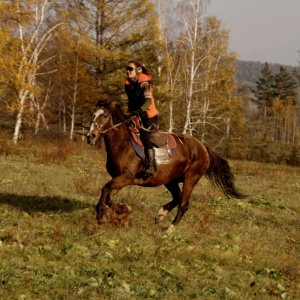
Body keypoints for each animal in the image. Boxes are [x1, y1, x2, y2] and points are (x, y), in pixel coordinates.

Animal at [85, 97, 245, 233]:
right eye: (93, 115)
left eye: (105, 116)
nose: (90, 136)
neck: (123, 144)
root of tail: (203, 147)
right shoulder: (118, 180)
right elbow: (107, 196)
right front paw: (120, 210)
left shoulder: (125, 177)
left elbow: (105, 190)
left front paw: (104, 214)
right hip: (170, 180)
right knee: (178, 198)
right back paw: (160, 214)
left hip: (190, 178)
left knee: (184, 204)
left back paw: (169, 230)